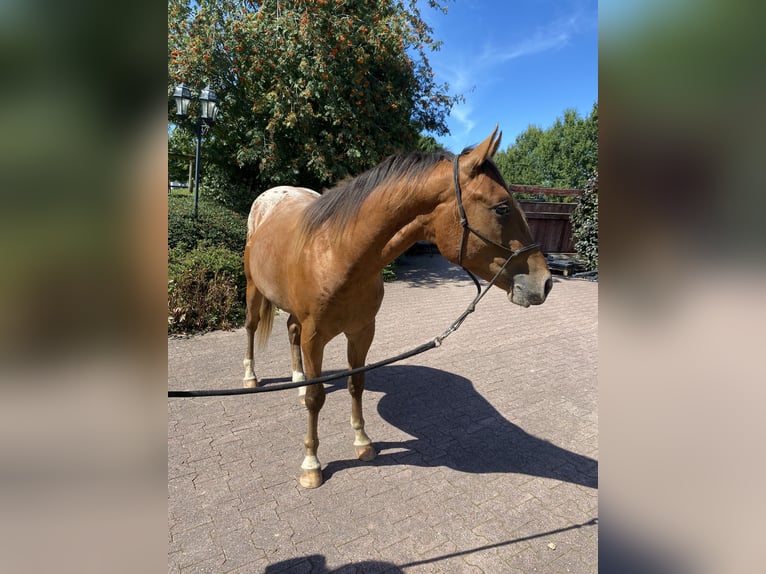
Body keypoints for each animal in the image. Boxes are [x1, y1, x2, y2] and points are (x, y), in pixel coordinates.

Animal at [243, 128, 548, 488]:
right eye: (502, 208)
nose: (545, 282)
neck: (336, 253)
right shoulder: (315, 337)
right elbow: (317, 399)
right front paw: (311, 464)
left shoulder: (362, 332)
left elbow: (355, 384)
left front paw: (362, 442)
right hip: (252, 289)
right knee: (251, 327)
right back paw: (251, 377)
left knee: (291, 329)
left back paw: (298, 379)